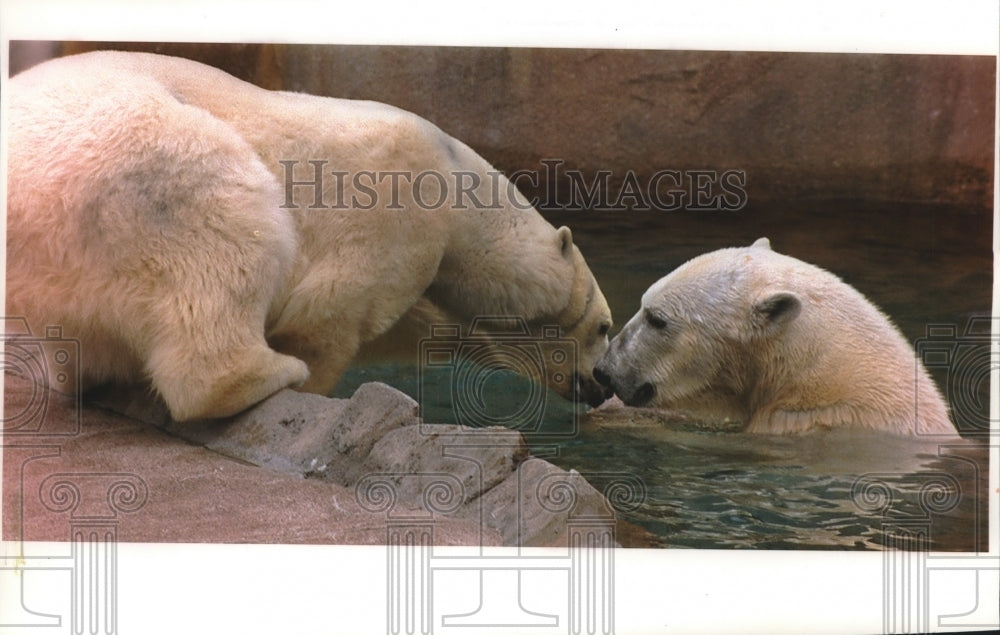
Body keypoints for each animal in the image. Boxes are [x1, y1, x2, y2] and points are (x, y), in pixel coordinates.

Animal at [7, 52, 612, 422]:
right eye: (604, 326)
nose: (604, 384)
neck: (458, 182)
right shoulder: (397, 201)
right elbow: (330, 314)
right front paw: (312, 377)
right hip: (134, 164)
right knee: (226, 229)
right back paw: (267, 373)